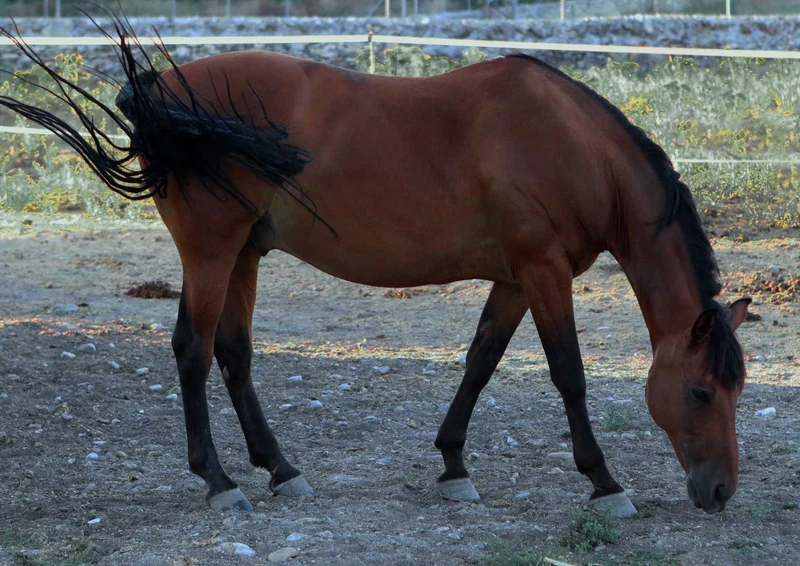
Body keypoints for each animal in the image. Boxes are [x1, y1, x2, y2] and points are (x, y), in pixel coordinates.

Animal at [0, 17, 751, 518]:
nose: (719, 492)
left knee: (233, 353)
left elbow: (480, 363)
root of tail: (164, 90)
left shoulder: (514, 278)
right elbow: (568, 375)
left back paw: (280, 469)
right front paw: (604, 482)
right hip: (211, 253)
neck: (570, 144)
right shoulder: (544, 273)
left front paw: (453, 465)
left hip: (244, 253)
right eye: (700, 392)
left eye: (735, 391)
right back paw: (220, 482)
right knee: (193, 350)